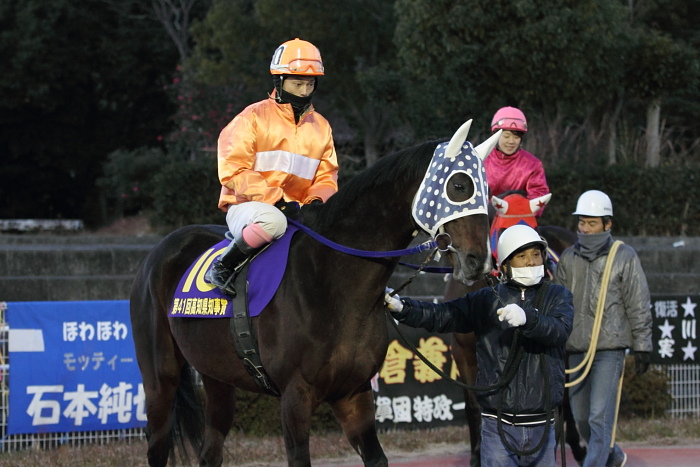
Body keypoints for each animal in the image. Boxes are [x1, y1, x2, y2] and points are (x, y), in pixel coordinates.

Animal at [127, 121, 498, 467]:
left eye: (488, 192)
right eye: (459, 185)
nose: (478, 261)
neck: (335, 284)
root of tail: (157, 251)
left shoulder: (354, 393)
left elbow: (376, 456)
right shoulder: (295, 395)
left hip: (217, 378)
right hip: (160, 380)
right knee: (157, 443)